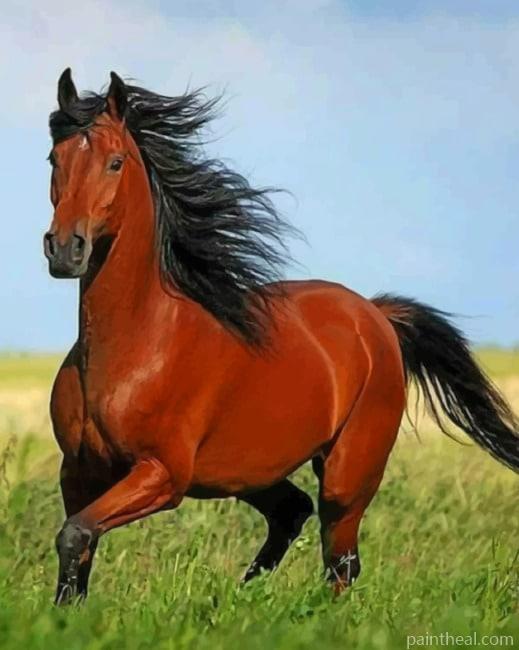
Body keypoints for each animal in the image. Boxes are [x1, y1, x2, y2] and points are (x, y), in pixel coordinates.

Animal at [44, 69, 519, 605]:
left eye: (115, 162)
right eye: (55, 158)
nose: (65, 249)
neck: (135, 345)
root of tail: (374, 314)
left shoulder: (162, 474)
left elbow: (75, 535)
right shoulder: (78, 471)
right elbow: (78, 552)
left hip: (347, 474)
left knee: (340, 560)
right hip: (252, 470)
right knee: (294, 514)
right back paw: (243, 595)